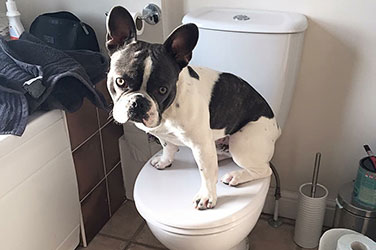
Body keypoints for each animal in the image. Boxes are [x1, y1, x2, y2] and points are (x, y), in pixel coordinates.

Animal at [104, 5, 280, 210]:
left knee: (263, 169)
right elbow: (168, 147)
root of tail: (276, 127)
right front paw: (164, 161)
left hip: (242, 144)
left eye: (162, 89)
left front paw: (207, 196)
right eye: (120, 81)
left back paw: (236, 176)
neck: (168, 111)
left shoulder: (200, 144)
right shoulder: (165, 135)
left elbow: (207, 174)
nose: (138, 102)